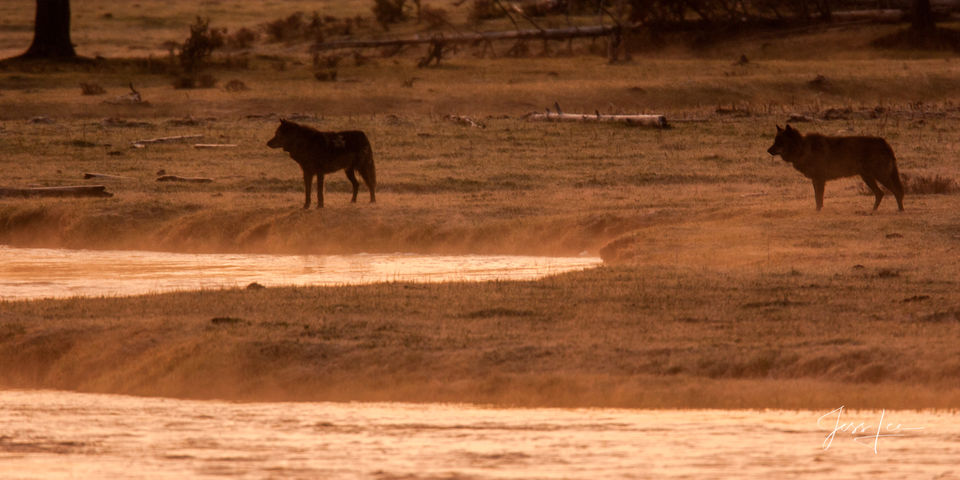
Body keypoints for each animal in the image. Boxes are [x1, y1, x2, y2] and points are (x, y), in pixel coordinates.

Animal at [764, 124, 908, 211]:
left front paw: (818, 212)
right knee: (881, 193)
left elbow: (818, 198)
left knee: (896, 191)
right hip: (868, 177)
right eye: (775, 141)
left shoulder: (819, 180)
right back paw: (872, 211)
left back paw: (899, 211)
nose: (768, 150)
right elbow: (818, 199)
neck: (803, 149)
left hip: (879, 176)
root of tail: (884, 142)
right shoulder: (816, 180)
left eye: (780, 142)